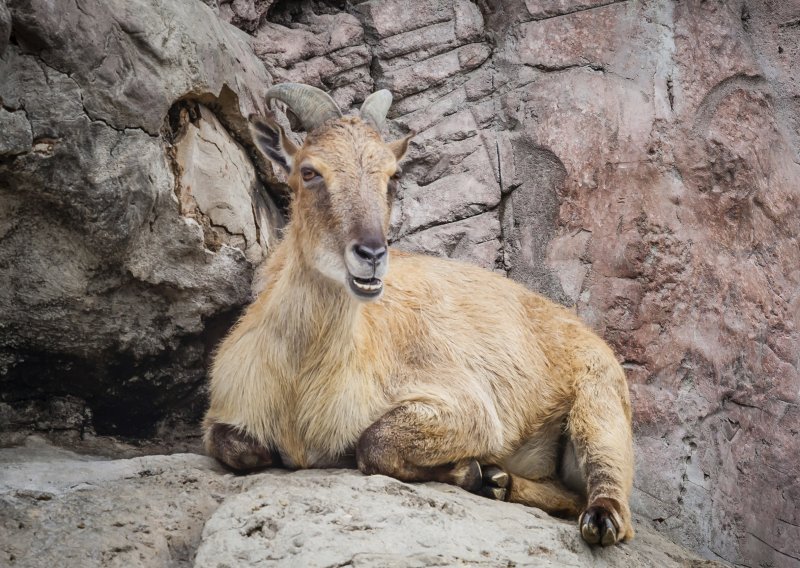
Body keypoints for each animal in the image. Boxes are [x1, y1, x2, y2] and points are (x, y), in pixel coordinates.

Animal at [203, 83, 636, 544]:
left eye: (393, 175)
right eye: (309, 171)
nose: (372, 255)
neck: (301, 381)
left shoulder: (465, 406)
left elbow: (374, 444)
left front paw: (467, 471)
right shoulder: (227, 412)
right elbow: (240, 449)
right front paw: (479, 474)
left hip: (599, 404)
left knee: (609, 495)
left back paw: (595, 518)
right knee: (564, 493)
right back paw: (500, 482)